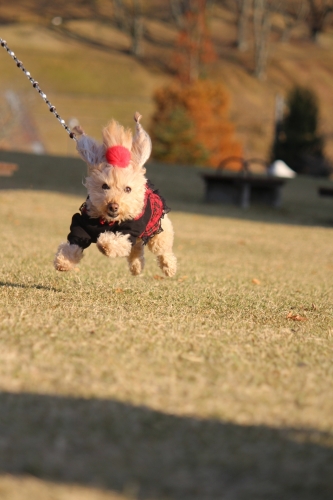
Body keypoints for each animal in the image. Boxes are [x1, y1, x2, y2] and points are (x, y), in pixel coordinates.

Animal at [53, 112, 176, 278]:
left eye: (128, 189)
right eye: (105, 186)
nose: (113, 206)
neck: (108, 222)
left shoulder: (130, 230)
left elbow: (118, 242)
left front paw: (104, 244)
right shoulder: (82, 224)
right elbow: (74, 242)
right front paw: (64, 261)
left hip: (158, 229)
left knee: (162, 249)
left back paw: (169, 267)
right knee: (137, 248)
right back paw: (136, 267)